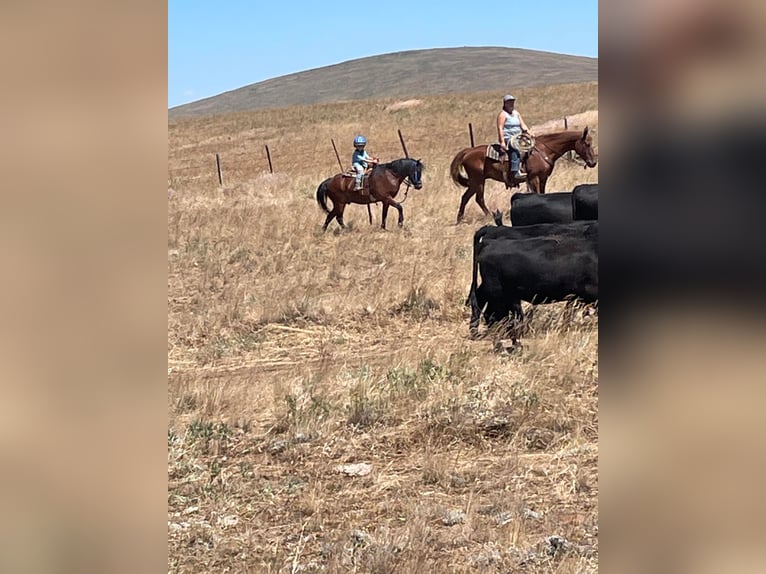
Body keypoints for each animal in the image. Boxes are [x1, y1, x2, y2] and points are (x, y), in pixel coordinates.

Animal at [450, 128, 600, 225]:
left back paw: (460, 220)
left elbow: (543, 193)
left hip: (476, 182)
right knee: (478, 199)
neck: (544, 151)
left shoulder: (543, 178)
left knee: (466, 198)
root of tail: (468, 151)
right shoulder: (534, 178)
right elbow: (537, 193)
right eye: (587, 144)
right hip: (478, 181)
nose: (593, 163)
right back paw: (488, 217)